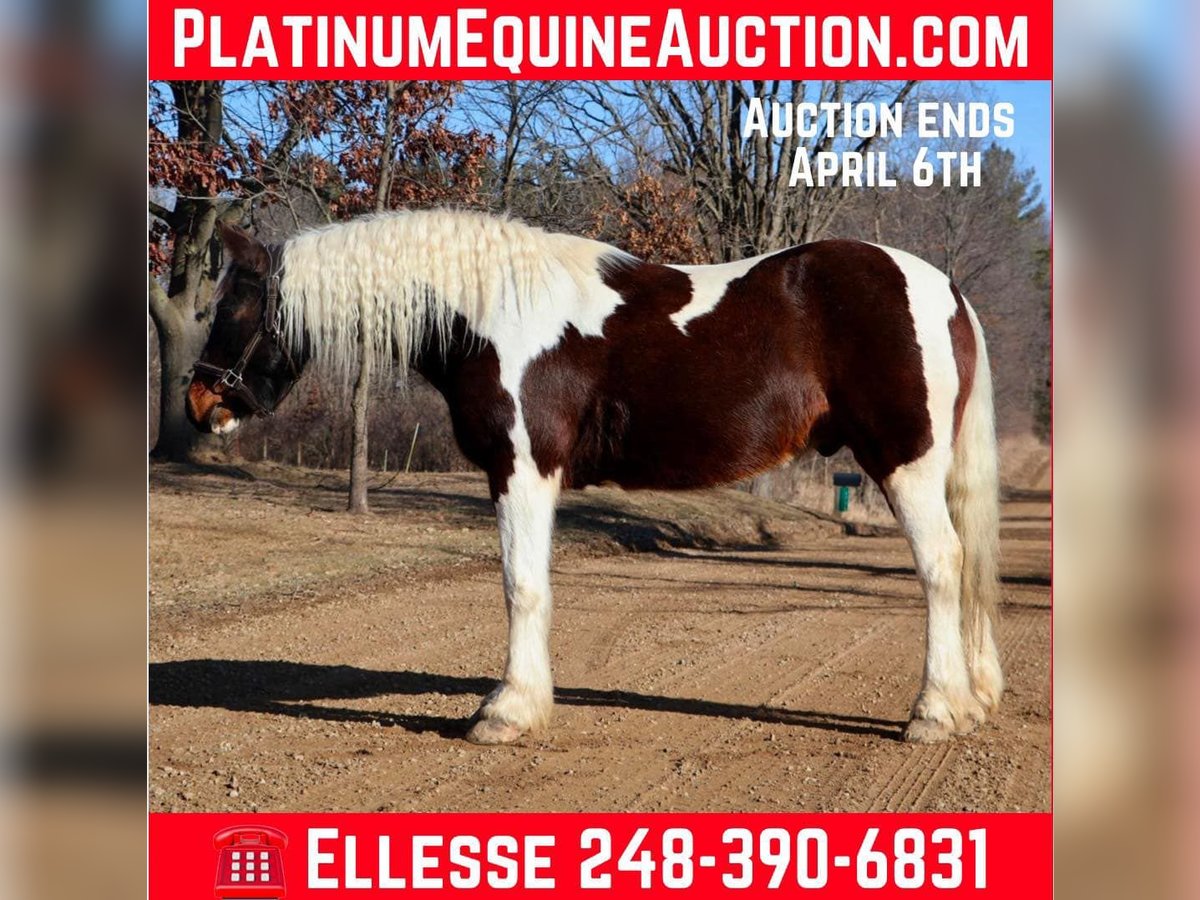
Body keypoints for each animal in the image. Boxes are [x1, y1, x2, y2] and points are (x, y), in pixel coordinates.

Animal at [186, 209, 1003, 746]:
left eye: (234, 304)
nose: (199, 401)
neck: (493, 311)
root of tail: (944, 291)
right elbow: (534, 585)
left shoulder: (522, 468)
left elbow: (521, 586)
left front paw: (505, 712)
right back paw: (971, 698)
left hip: (904, 463)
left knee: (942, 565)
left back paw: (934, 713)